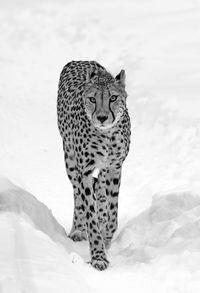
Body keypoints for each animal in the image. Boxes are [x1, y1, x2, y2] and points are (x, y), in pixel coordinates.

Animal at [57, 60, 130, 270]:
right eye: (92, 99)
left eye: (113, 97)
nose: (102, 117)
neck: (107, 135)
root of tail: (79, 60)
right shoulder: (86, 171)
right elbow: (90, 212)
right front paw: (98, 255)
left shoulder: (115, 167)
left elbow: (112, 211)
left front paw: (107, 237)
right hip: (70, 162)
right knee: (77, 195)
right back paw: (77, 229)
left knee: (102, 194)